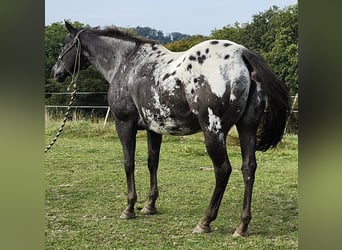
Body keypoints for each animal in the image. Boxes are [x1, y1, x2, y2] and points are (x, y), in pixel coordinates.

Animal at [52, 21, 290, 236]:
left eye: (64, 45)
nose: (56, 72)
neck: (126, 62)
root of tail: (242, 54)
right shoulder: (153, 129)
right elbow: (152, 162)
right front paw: (150, 205)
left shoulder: (124, 124)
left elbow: (129, 163)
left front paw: (129, 207)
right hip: (247, 128)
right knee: (248, 168)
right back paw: (242, 226)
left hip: (213, 131)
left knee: (223, 170)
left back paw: (205, 222)